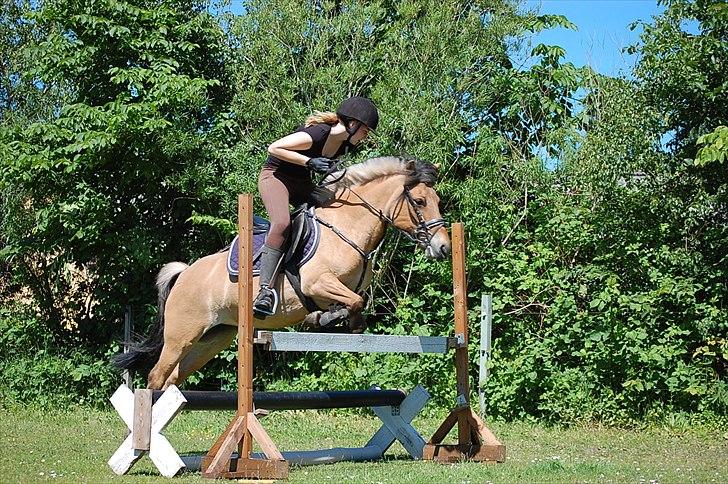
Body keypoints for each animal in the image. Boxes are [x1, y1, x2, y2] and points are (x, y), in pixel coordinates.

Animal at [115, 156, 450, 390]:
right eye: (419, 201)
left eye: (438, 201)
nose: (444, 247)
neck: (347, 227)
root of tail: (184, 274)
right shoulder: (317, 283)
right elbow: (354, 302)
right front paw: (332, 320)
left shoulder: (345, 289)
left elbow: (357, 301)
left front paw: (328, 319)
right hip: (181, 335)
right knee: (157, 376)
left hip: (213, 338)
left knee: (173, 378)